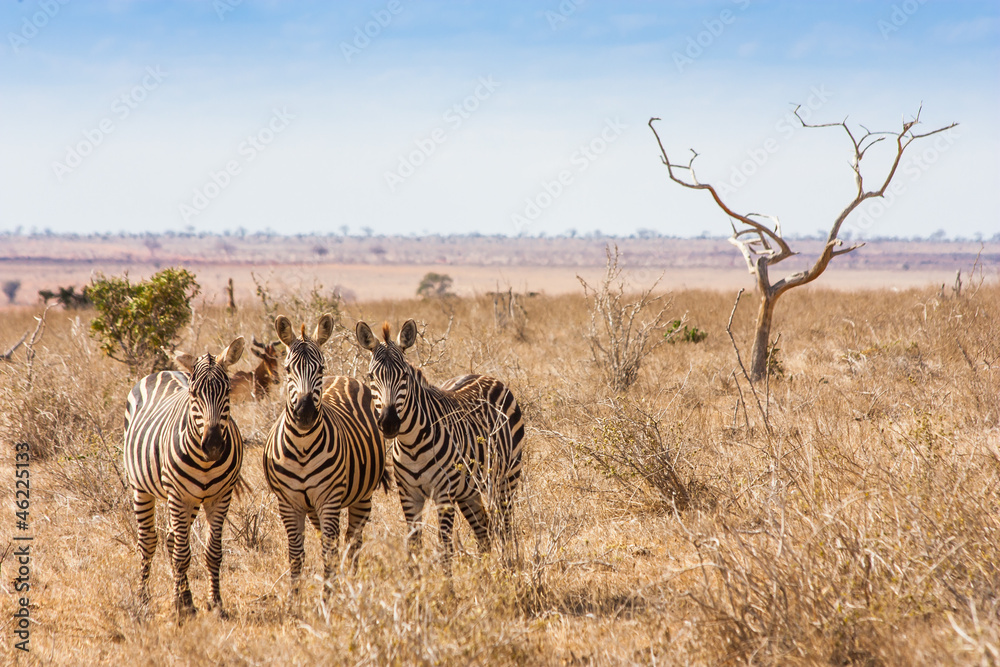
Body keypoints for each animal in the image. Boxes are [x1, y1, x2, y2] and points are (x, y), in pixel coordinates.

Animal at [123, 337, 245, 618]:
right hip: (143, 489)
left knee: (171, 539)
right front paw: (181, 608)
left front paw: (214, 603)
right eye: (194, 395)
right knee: (149, 542)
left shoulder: (220, 497)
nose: (213, 445)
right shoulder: (178, 495)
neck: (206, 462)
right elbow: (182, 555)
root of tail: (164, 371)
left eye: (227, 392)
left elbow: (213, 552)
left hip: (191, 500)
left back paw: (184, 595)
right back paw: (144, 598)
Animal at [263, 314, 387, 599]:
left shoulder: (329, 498)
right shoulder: (289, 503)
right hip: (313, 508)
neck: (302, 446)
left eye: (320, 369)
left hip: (361, 496)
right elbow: (296, 554)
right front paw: (294, 600)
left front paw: (328, 598)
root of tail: (344, 377)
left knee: (352, 539)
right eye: (288, 369)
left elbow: (329, 551)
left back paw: (350, 582)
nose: (305, 412)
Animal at [355, 319, 524, 575]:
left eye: (404, 375)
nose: (389, 422)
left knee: (504, 526)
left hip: (505, 478)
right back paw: (484, 574)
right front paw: (415, 583)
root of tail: (486, 376)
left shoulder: (444, 494)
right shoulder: (409, 495)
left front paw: (448, 585)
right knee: (483, 529)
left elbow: (445, 548)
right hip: (468, 490)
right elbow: (413, 546)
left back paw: (507, 569)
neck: (412, 444)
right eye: (371, 376)